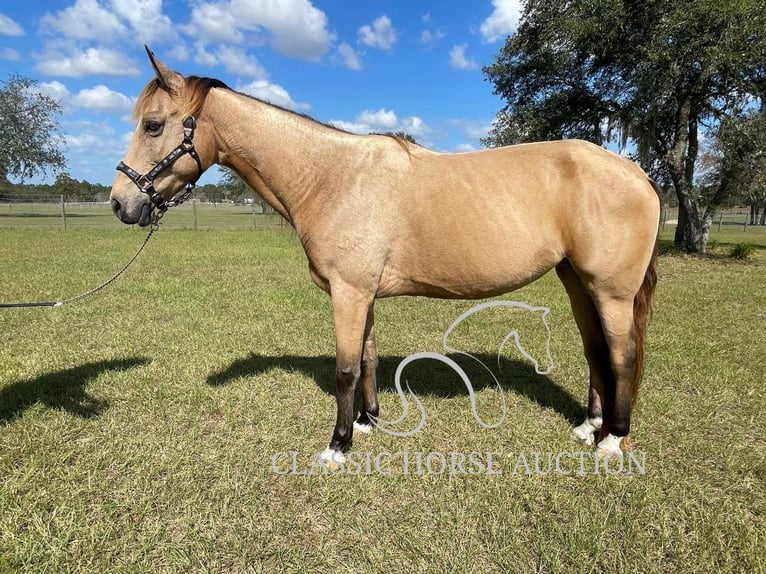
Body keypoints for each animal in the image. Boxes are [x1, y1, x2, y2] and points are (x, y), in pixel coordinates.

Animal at [111, 47, 664, 466]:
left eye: (154, 126)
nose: (121, 202)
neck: (332, 177)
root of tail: (636, 173)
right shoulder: (364, 293)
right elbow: (369, 357)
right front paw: (367, 421)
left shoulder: (349, 293)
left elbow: (345, 368)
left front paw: (337, 446)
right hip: (577, 282)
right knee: (596, 352)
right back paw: (589, 427)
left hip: (611, 291)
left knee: (623, 354)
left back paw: (612, 440)